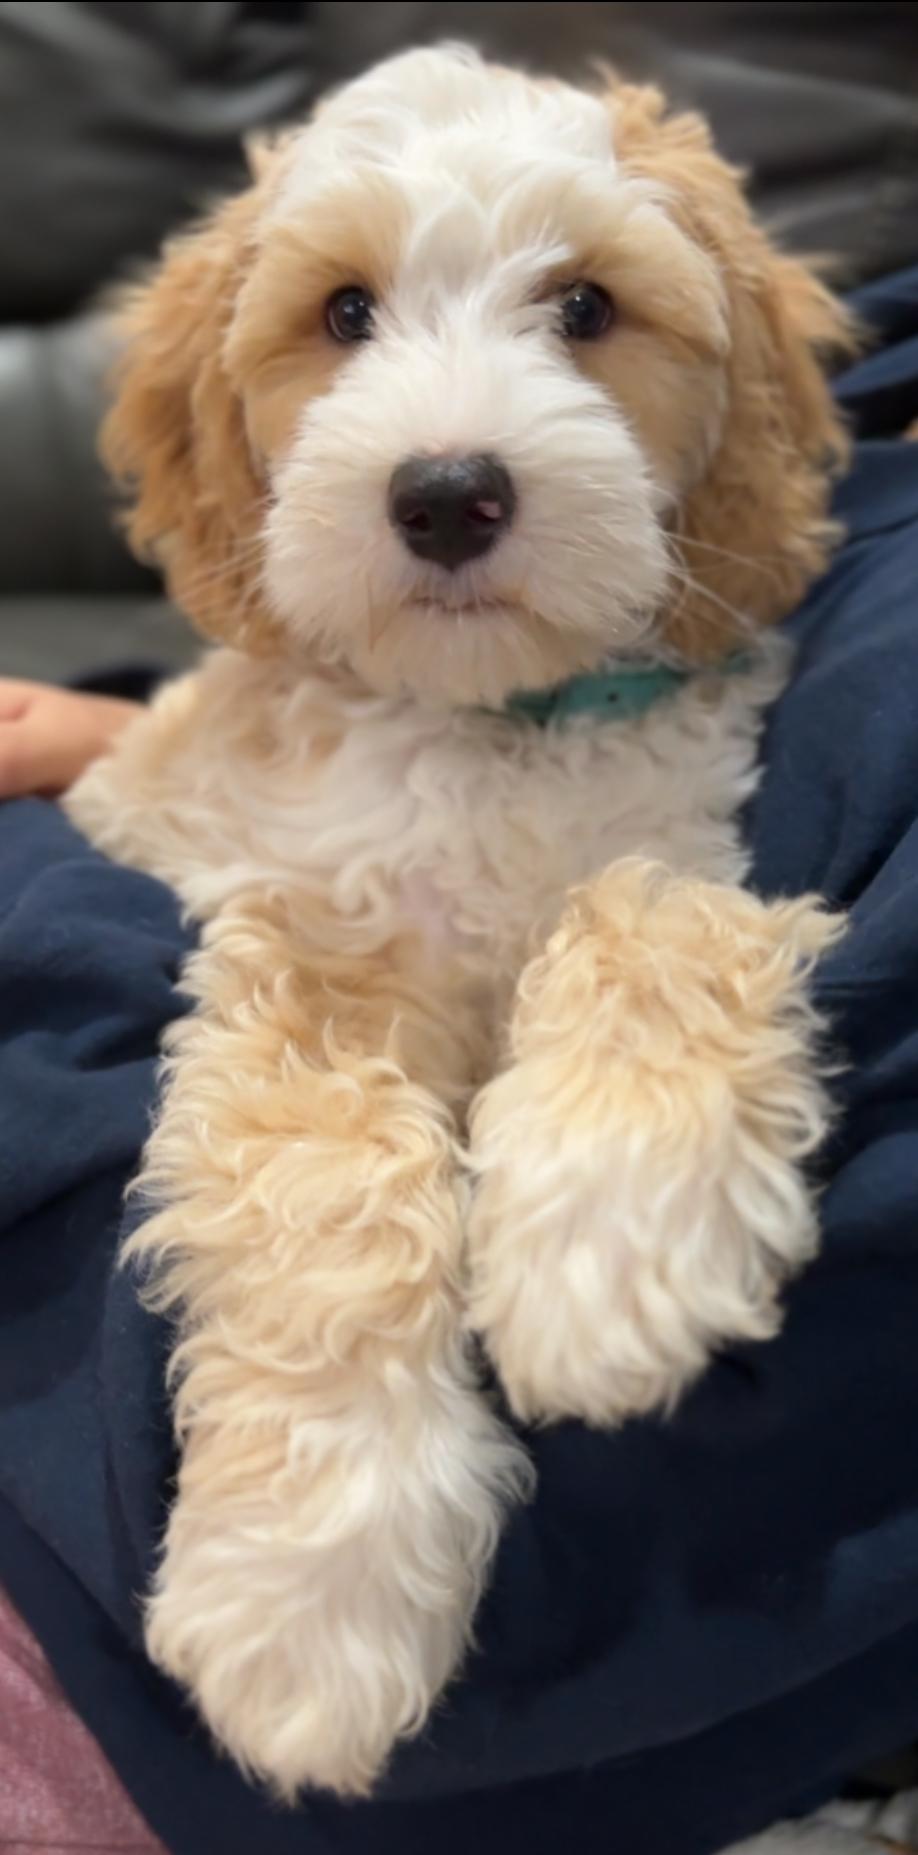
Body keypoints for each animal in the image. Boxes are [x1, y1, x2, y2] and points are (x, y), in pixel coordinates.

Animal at [66, 43, 851, 1801]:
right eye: (344, 311)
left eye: (586, 306)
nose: (444, 494)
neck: (492, 720)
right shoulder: (296, 943)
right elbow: (320, 1188)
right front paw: (304, 1607)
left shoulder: (674, 830)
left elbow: (641, 920)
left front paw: (608, 1246)